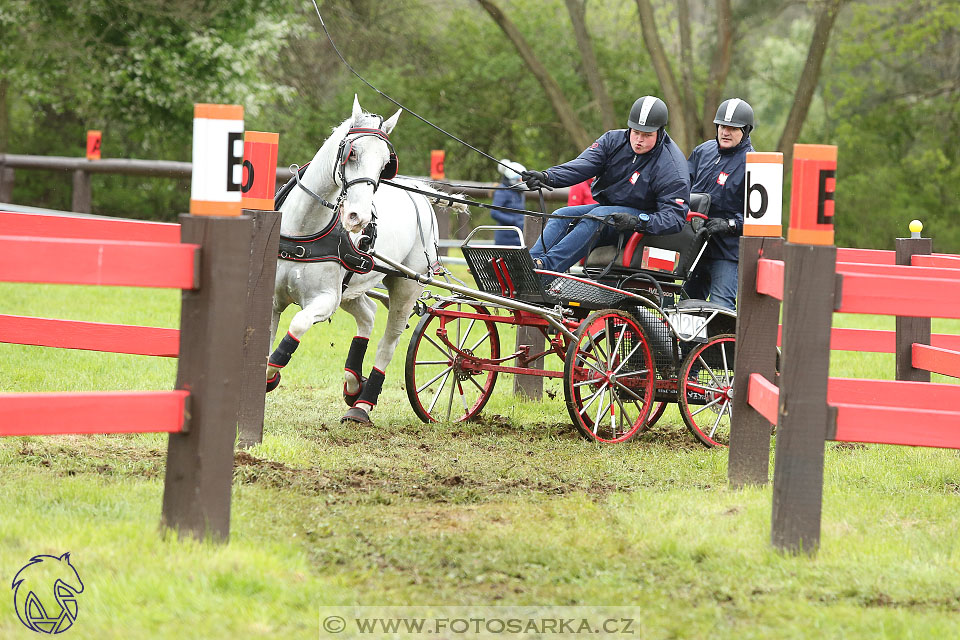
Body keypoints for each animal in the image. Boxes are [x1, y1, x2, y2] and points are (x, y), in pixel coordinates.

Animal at [268, 96, 466, 424]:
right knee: (368, 314)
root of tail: (419, 193)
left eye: (386, 163)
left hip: (406, 286)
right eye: (352, 153)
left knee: (388, 342)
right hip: (353, 286)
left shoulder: (325, 299)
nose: (357, 217)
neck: (305, 229)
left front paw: (271, 375)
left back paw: (362, 404)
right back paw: (352, 384)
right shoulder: (272, 299)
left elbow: (297, 324)